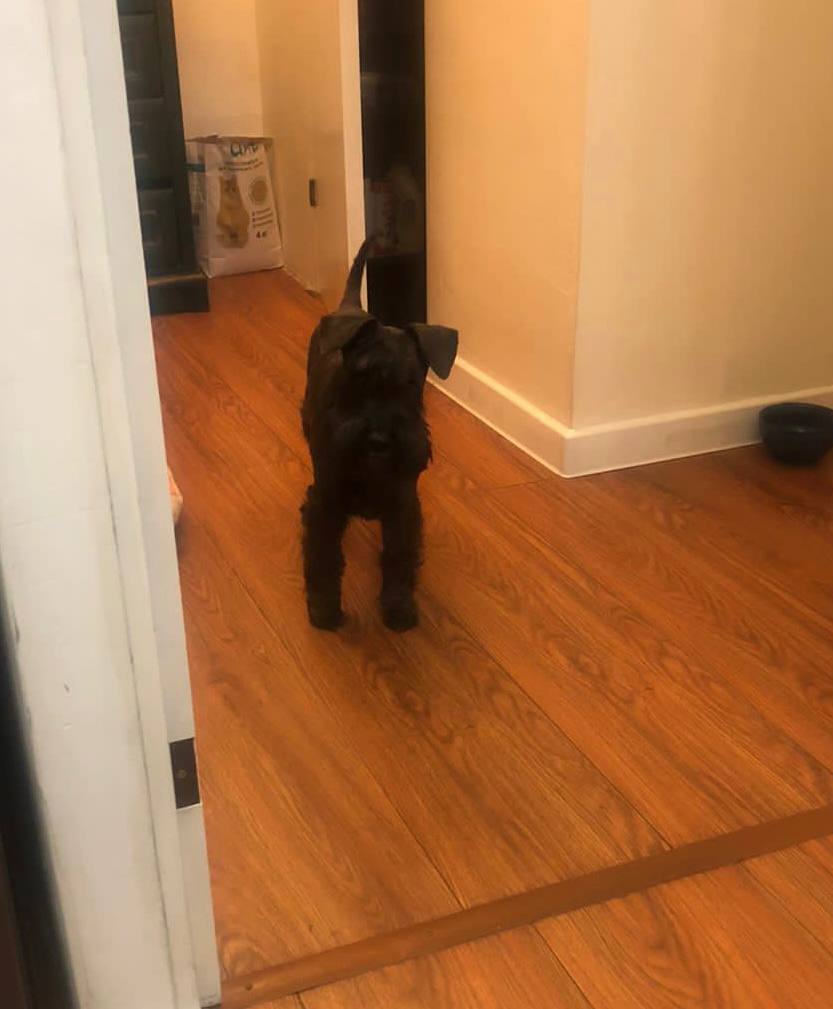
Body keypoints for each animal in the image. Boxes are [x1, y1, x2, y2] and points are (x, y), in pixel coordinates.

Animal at [301, 238, 458, 631]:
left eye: (412, 384)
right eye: (358, 377)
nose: (379, 441)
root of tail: (348, 306)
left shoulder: (402, 507)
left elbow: (399, 560)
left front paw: (398, 608)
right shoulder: (326, 504)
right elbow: (323, 559)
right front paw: (324, 610)